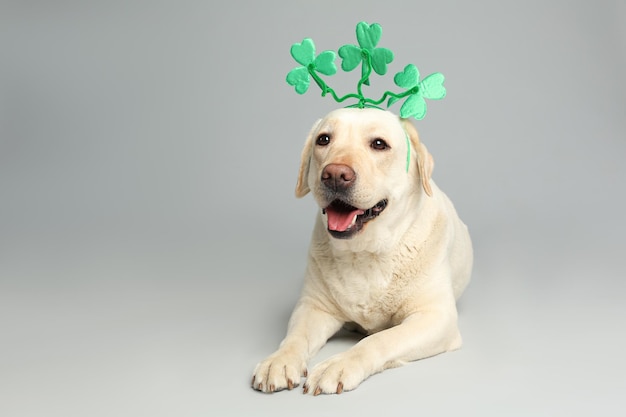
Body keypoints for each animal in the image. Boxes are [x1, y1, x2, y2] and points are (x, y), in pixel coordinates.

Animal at [251, 106, 470, 394]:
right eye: (323, 139)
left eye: (379, 144)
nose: (334, 174)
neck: (365, 253)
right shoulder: (313, 307)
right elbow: (295, 337)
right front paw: (279, 360)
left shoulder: (435, 318)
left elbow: (381, 339)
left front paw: (340, 364)